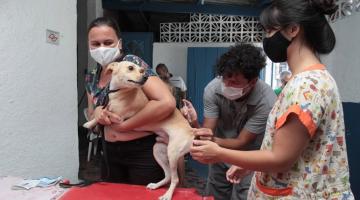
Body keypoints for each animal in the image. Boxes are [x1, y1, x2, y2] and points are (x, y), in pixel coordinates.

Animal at [83, 55, 194, 200]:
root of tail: (192, 131)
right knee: (168, 175)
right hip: (158, 150)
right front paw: (90, 124)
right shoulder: (108, 109)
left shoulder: (117, 117)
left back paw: (167, 195)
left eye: (141, 70)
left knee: (175, 179)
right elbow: (99, 113)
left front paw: (90, 123)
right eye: (131, 68)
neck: (117, 91)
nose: (145, 77)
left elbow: (101, 116)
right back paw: (156, 186)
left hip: (173, 153)